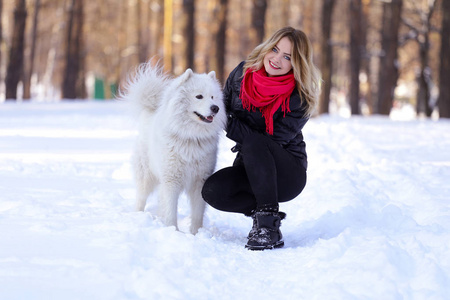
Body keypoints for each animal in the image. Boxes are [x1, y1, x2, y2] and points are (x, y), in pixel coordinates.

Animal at [120, 62, 227, 233]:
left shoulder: (200, 181)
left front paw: (195, 233)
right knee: (141, 198)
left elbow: (197, 213)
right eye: (199, 96)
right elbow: (171, 209)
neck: (191, 137)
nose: (215, 108)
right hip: (146, 176)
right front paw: (172, 230)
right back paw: (138, 216)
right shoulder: (171, 180)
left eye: (212, 97)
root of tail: (150, 111)